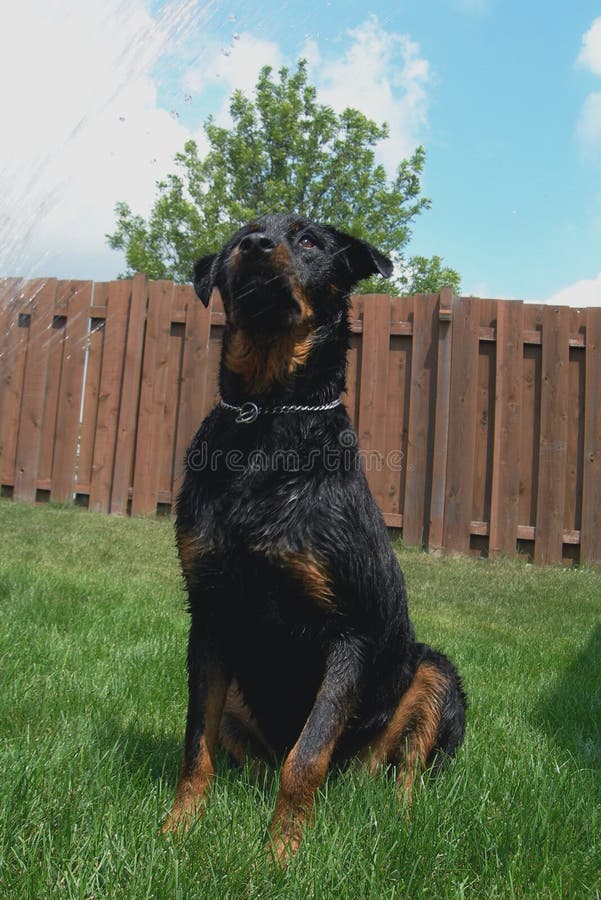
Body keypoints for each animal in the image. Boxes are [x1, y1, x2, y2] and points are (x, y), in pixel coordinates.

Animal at [162, 211, 466, 856]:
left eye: (308, 240)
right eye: (238, 238)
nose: (255, 246)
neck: (270, 417)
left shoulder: (350, 633)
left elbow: (305, 758)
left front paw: (281, 856)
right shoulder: (210, 615)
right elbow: (195, 745)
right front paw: (176, 830)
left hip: (434, 676)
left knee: (403, 775)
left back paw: (401, 827)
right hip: (240, 700)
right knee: (254, 760)